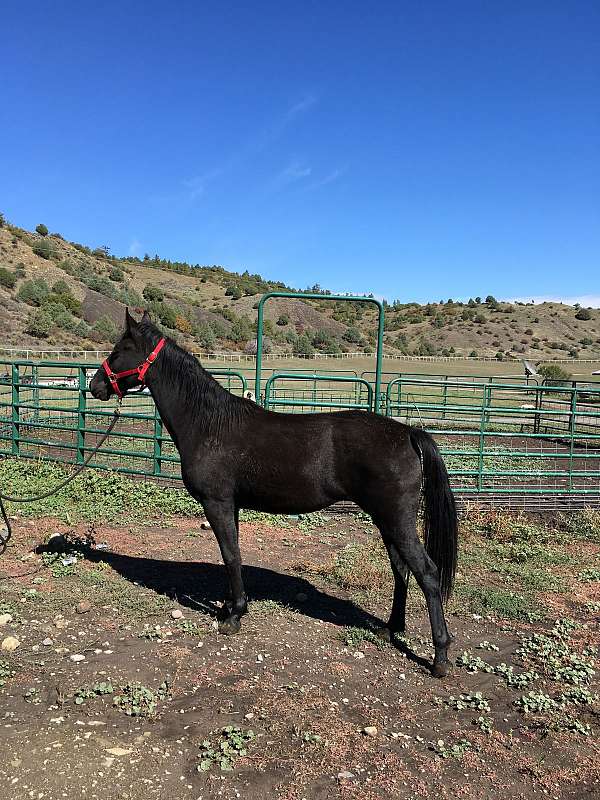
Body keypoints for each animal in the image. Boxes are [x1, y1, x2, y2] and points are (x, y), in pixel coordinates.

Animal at [89, 310, 458, 676]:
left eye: (120, 350)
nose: (95, 386)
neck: (209, 424)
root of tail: (408, 433)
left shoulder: (217, 503)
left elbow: (231, 556)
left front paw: (234, 616)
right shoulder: (231, 505)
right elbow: (232, 555)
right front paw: (230, 606)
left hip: (396, 520)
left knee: (427, 573)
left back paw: (439, 656)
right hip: (387, 521)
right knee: (401, 570)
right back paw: (390, 628)